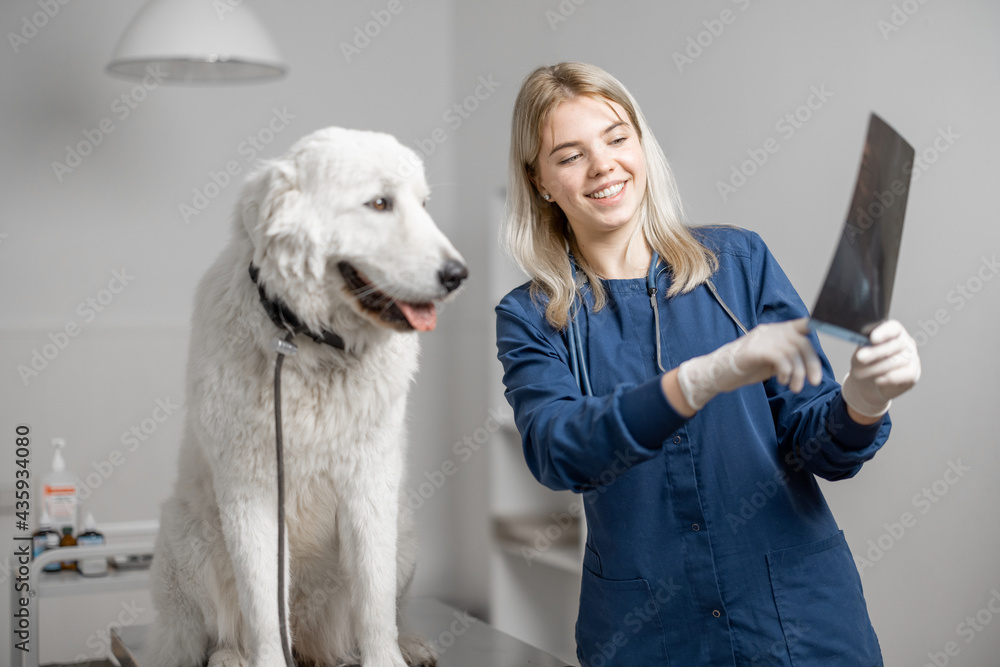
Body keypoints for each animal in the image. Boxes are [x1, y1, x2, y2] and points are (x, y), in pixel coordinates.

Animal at [143, 126, 466, 667]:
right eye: (380, 203)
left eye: (423, 205)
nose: (457, 275)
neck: (308, 344)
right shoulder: (251, 493)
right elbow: (261, 609)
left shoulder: (370, 484)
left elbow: (375, 603)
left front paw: (387, 657)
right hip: (184, 536)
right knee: (210, 633)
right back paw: (229, 655)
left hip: (404, 533)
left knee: (389, 611)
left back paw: (410, 644)